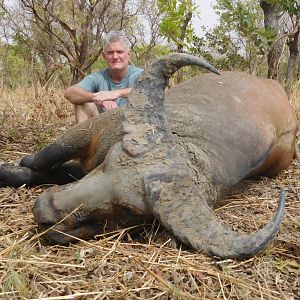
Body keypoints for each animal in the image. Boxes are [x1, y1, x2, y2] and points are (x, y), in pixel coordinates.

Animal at [0, 52, 298, 258]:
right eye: (108, 162)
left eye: (127, 209)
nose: (45, 209)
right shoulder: (91, 131)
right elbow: (43, 159)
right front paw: (16, 167)